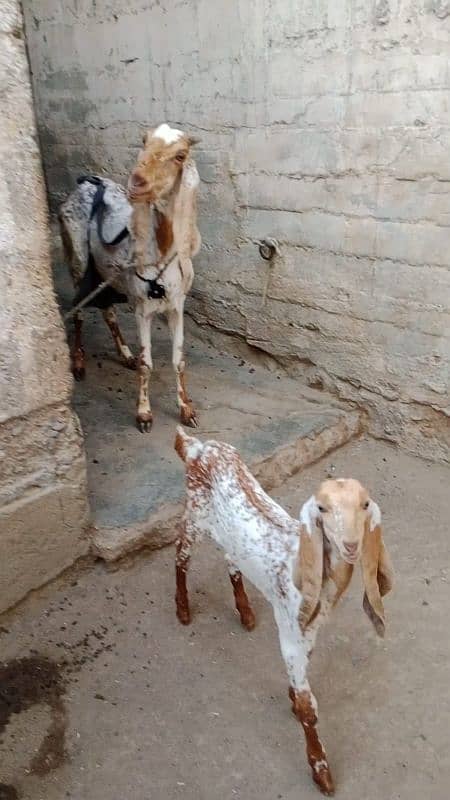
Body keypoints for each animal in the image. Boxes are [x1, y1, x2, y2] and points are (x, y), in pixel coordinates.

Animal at [174, 424, 392, 792]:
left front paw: (292, 693)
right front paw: (321, 770)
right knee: (180, 553)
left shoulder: (310, 628)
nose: (350, 545)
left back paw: (245, 612)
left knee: (231, 558)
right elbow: (308, 707)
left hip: (228, 533)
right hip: (195, 513)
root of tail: (199, 447)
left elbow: (304, 671)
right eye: (322, 509)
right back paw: (183, 610)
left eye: (364, 505)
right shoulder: (290, 627)